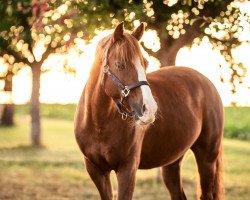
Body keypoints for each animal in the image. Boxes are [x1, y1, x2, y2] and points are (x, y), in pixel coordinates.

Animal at [75, 22, 224, 200]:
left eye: (145, 64)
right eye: (120, 65)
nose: (149, 109)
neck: (99, 124)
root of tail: (207, 83)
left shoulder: (127, 170)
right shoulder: (96, 170)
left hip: (207, 157)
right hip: (172, 162)